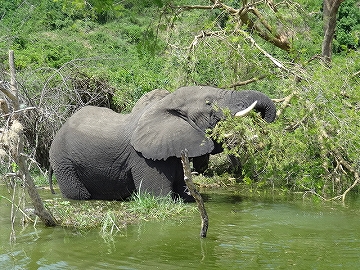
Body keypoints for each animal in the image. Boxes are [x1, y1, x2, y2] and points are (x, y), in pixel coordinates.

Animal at [48, 85, 276, 201]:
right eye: (209, 103)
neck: (164, 105)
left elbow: (186, 193)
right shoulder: (144, 158)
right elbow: (159, 197)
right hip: (64, 163)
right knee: (78, 194)